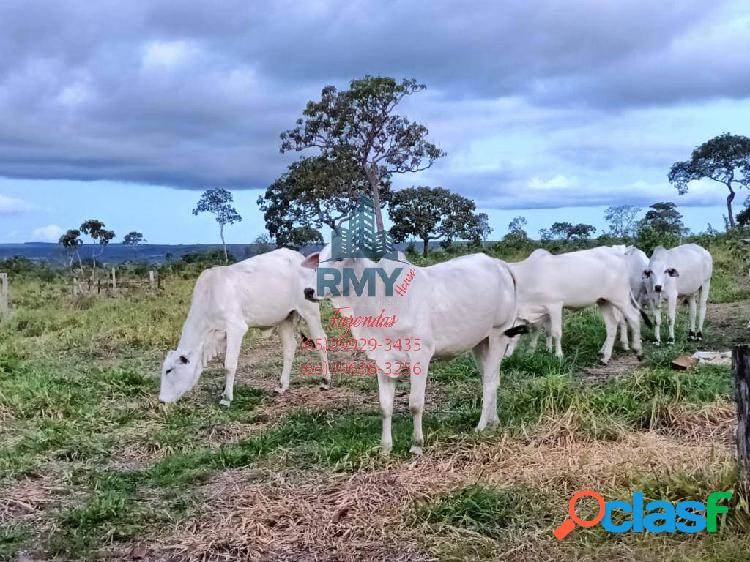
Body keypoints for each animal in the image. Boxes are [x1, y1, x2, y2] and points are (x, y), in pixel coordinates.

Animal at [160, 248, 330, 402]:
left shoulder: (236, 327)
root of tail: (298, 256)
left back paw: (325, 381)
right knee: (289, 346)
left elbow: (229, 364)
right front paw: (224, 391)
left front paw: (227, 398)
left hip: (309, 310)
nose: (161, 400)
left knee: (320, 340)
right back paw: (282, 385)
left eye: (169, 370)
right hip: (285, 318)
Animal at [300, 249, 524, 456]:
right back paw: (494, 422)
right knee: (492, 378)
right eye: (319, 260)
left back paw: (481, 426)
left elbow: (415, 404)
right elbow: (385, 406)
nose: (309, 291)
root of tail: (500, 264)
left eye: (339, 258)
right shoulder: (382, 359)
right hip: (480, 342)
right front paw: (385, 448)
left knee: (489, 383)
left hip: (499, 334)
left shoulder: (421, 357)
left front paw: (417, 445)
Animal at [508, 246, 648, 360]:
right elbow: (537, 331)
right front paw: (529, 353)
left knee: (633, 316)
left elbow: (556, 332)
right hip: (604, 301)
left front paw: (558, 355)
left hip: (620, 298)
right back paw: (605, 356)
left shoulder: (555, 305)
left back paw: (638, 350)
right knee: (612, 324)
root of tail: (621, 256)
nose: (506, 356)